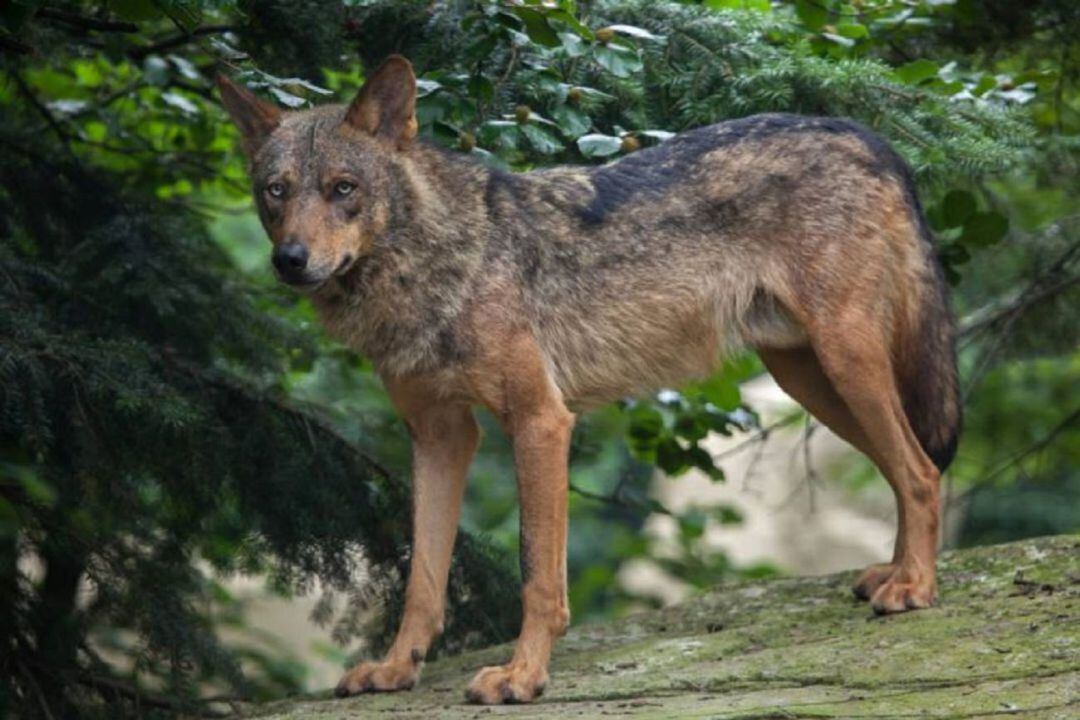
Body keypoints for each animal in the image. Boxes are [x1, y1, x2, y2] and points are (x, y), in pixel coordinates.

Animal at [219, 55, 963, 703]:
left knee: (922, 472)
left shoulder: (540, 421)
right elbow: (424, 580)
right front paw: (397, 669)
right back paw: (895, 575)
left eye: (343, 189)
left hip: (846, 363)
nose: (289, 260)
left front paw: (521, 677)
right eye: (275, 192)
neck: (437, 265)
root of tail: (865, 134)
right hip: (811, 381)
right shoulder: (439, 436)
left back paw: (916, 589)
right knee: (908, 468)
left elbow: (536, 578)